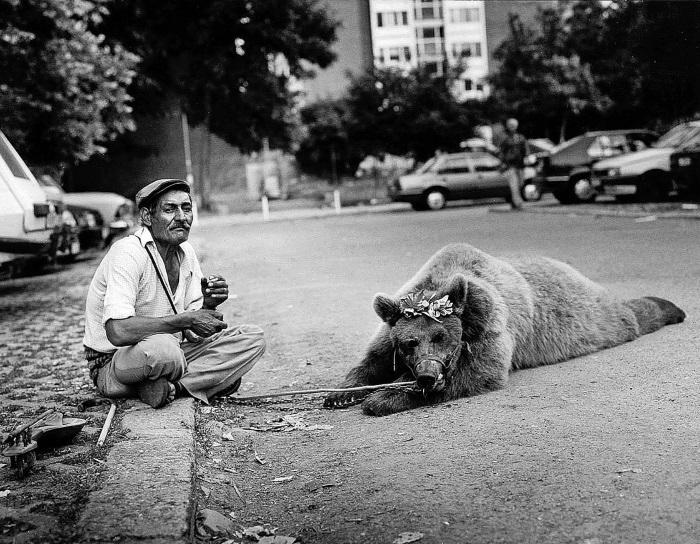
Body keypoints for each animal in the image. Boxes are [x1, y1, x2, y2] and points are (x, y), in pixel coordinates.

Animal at [326, 243, 688, 416]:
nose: (427, 376)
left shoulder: (490, 324)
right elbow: (370, 361)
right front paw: (339, 395)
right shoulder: (389, 334)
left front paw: (383, 397)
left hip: (584, 314)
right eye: (409, 343)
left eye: (442, 337)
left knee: (622, 317)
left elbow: (480, 374)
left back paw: (669, 307)